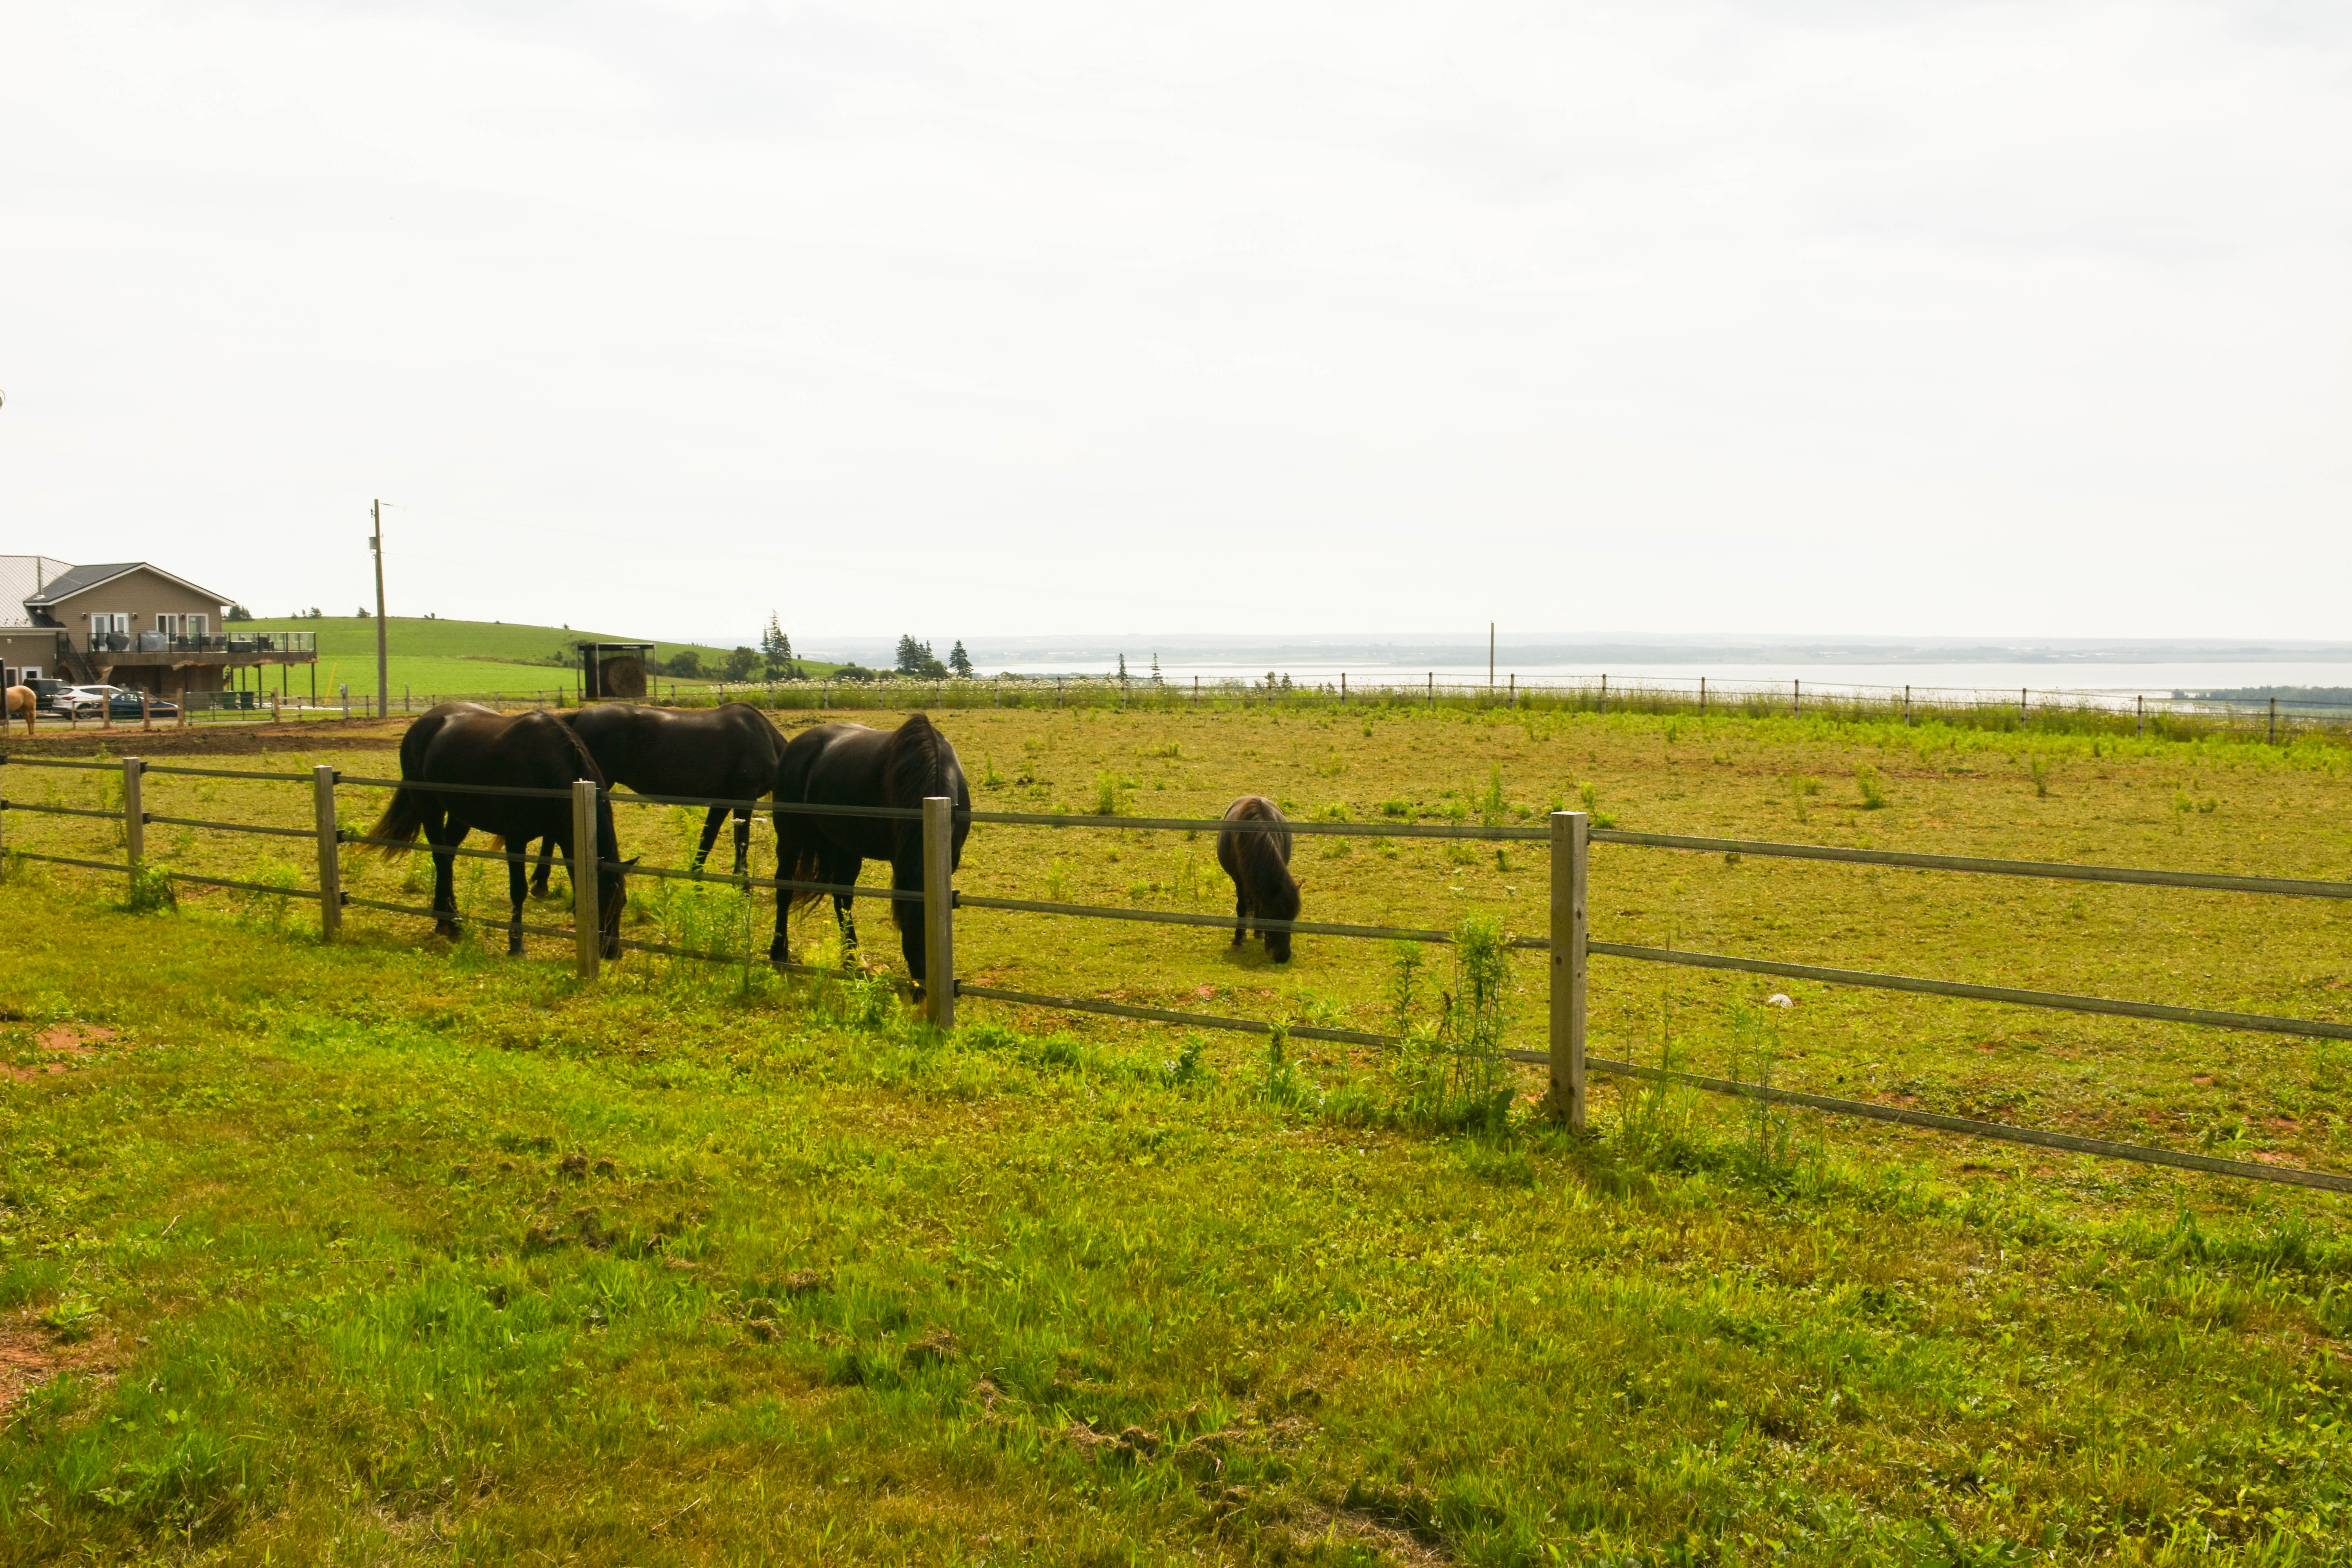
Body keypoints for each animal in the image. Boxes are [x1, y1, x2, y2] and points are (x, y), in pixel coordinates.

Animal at [4, 686, 33, 737]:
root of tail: (31, 690)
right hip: (24, 710)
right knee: (29, 720)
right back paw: (30, 733)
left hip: (31, 708)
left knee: (33, 719)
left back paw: (33, 733)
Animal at [368, 702, 634, 958]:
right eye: (600, 902)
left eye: (622, 902)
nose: (613, 952)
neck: (543, 767)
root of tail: (422, 723)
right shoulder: (515, 840)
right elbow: (519, 890)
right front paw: (517, 945)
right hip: (428, 806)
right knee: (441, 857)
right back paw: (450, 923)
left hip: (461, 815)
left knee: (448, 859)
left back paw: (444, 916)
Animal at [526, 701, 787, 897]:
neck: (763, 736)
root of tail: (580, 715)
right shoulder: (745, 797)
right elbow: (742, 842)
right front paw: (743, 887)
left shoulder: (722, 801)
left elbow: (708, 839)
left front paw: (696, 881)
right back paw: (541, 883)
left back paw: (541, 882)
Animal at [772, 713, 968, 977]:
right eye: (909, 929)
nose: (923, 980)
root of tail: (795, 746)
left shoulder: (951, 858)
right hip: (790, 839)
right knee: (784, 889)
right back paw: (779, 952)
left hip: (846, 848)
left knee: (842, 897)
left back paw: (853, 960)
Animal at [1216, 795, 1301, 962]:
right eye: (1273, 917)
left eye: (1292, 919)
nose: (1283, 956)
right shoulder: (1240, 880)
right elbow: (1242, 907)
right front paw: (1238, 940)